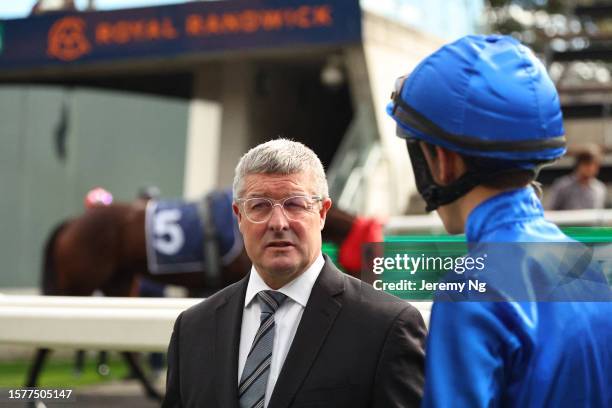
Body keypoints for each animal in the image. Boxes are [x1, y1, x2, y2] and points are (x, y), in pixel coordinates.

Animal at [29, 193, 382, 400]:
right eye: (371, 250)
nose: (375, 283)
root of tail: (73, 222)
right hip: (80, 281)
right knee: (45, 343)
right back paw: (32, 389)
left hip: (120, 280)